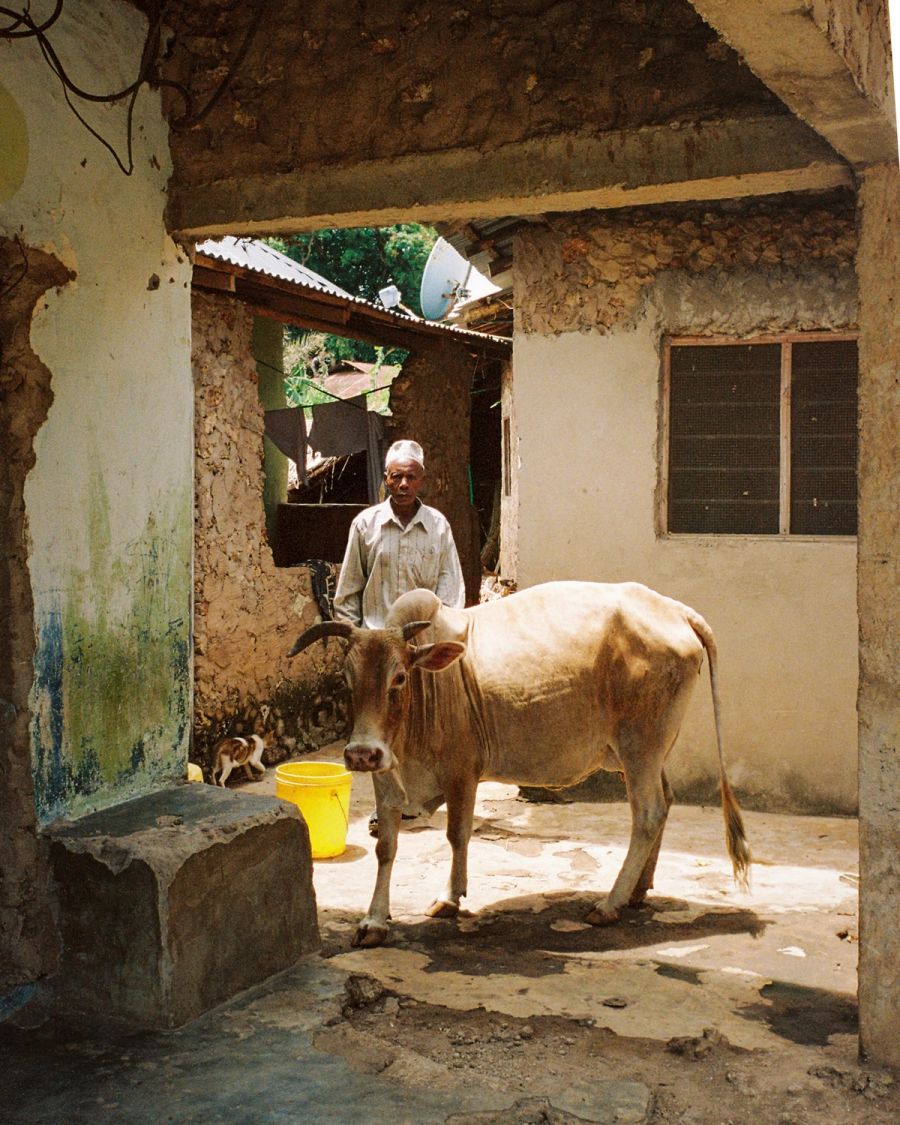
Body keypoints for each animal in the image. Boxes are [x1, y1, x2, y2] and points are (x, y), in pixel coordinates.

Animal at [288, 581, 750, 949]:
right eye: (347, 680)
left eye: (399, 677)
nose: (360, 754)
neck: (426, 694)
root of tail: (676, 610)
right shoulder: (387, 777)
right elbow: (386, 846)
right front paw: (374, 920)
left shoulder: (462, 773)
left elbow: (457, 836)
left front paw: (449, 897)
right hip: (646, 754)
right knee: (666, 801)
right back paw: (638, 890)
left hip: (640, 749)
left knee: (649, 813)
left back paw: (609, 903)